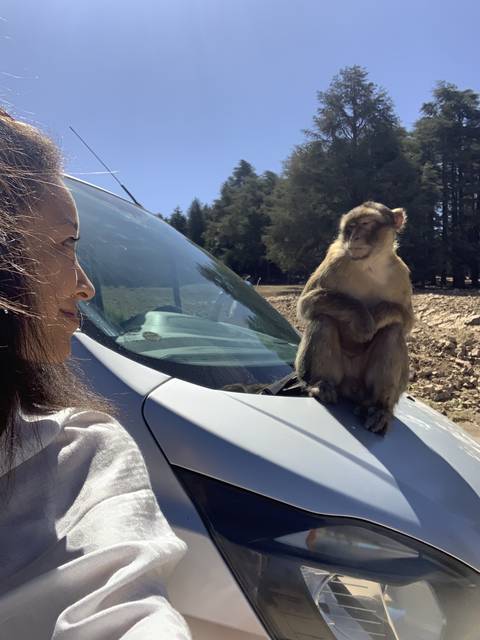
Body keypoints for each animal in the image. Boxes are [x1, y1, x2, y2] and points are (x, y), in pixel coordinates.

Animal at [295, 201, 414, 434]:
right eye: (350, 228)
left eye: (366, 224)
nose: (354, 237)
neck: (371, 263)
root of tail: (352, 387)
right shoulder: (335, 259)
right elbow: (307, 303)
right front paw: (363, 318)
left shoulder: (401, 272)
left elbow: (406, 321)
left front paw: (378, 315)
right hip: (340, 374)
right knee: (323, 319)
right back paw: (321, 384)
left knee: (393, 331)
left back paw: (379, 407)